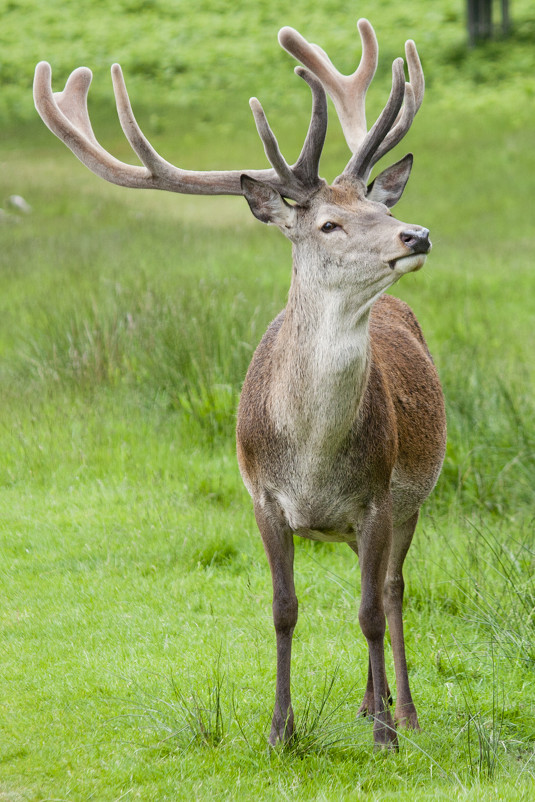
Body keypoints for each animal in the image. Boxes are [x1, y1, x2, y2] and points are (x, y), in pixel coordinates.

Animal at [33, 12, 448, 752]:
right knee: (368, 585)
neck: (313, 458)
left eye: (376, 208)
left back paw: (398, 710)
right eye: (329, 222)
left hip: (411, 500)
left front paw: (385, 740)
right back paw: (367, 703)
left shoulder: (376, 495)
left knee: (391, 589)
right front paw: (281, 730)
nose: (416, 234)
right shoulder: (261, 495)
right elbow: (283, 609)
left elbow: (370, 611)